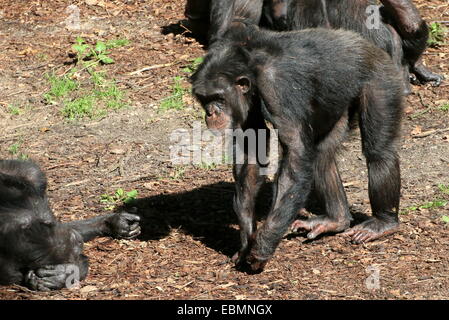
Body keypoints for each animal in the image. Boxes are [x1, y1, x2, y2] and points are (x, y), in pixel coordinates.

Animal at [0, 159, 140, 290]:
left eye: (74, 240)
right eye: (75, 248)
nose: (78, 241)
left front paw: (115, 222)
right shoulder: (9, 270)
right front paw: (65, 273)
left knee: (31, 172)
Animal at [192, 21, 402, 272]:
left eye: (219, 97)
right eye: (204, 98)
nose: (211, 112)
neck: (250, 64)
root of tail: (371, 46)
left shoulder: (277, 86)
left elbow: (295, 155)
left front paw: (262, 247)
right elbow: (253, 149)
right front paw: (246, 240)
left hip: (382, 79)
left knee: (378, 151)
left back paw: (383, 222)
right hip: (336, 101)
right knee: (321, 155)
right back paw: (335, 219)